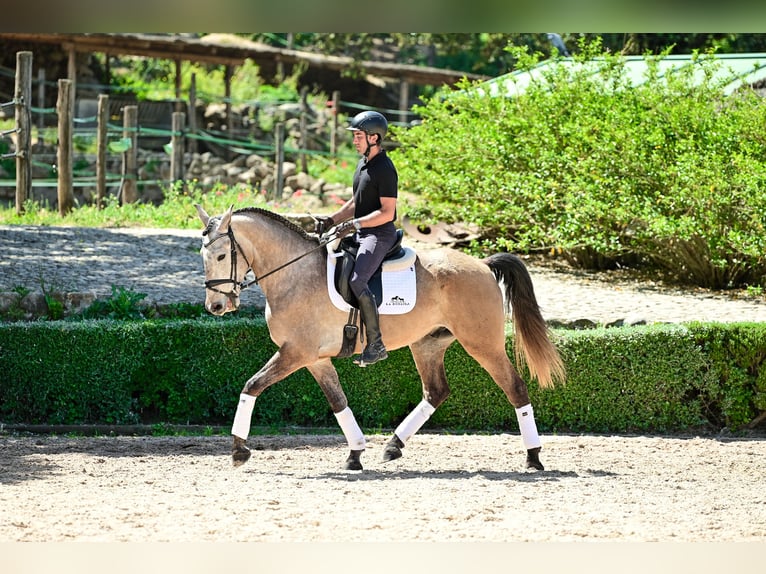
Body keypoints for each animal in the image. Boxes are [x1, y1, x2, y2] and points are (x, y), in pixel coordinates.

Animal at [195, 206, 568, 472]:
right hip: (428, 343)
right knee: (436, 392)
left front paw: (238, 450)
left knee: (515, 387)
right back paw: (393, 446)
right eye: (203, 257)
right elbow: (338, 402)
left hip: (482, 344)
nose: (215, 306)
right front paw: (355, 454)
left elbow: (251, 385)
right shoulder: (315, 359)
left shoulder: (295, 353)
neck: (294, 274)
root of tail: (483, 264)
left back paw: (533, 457)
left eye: (221, 256)